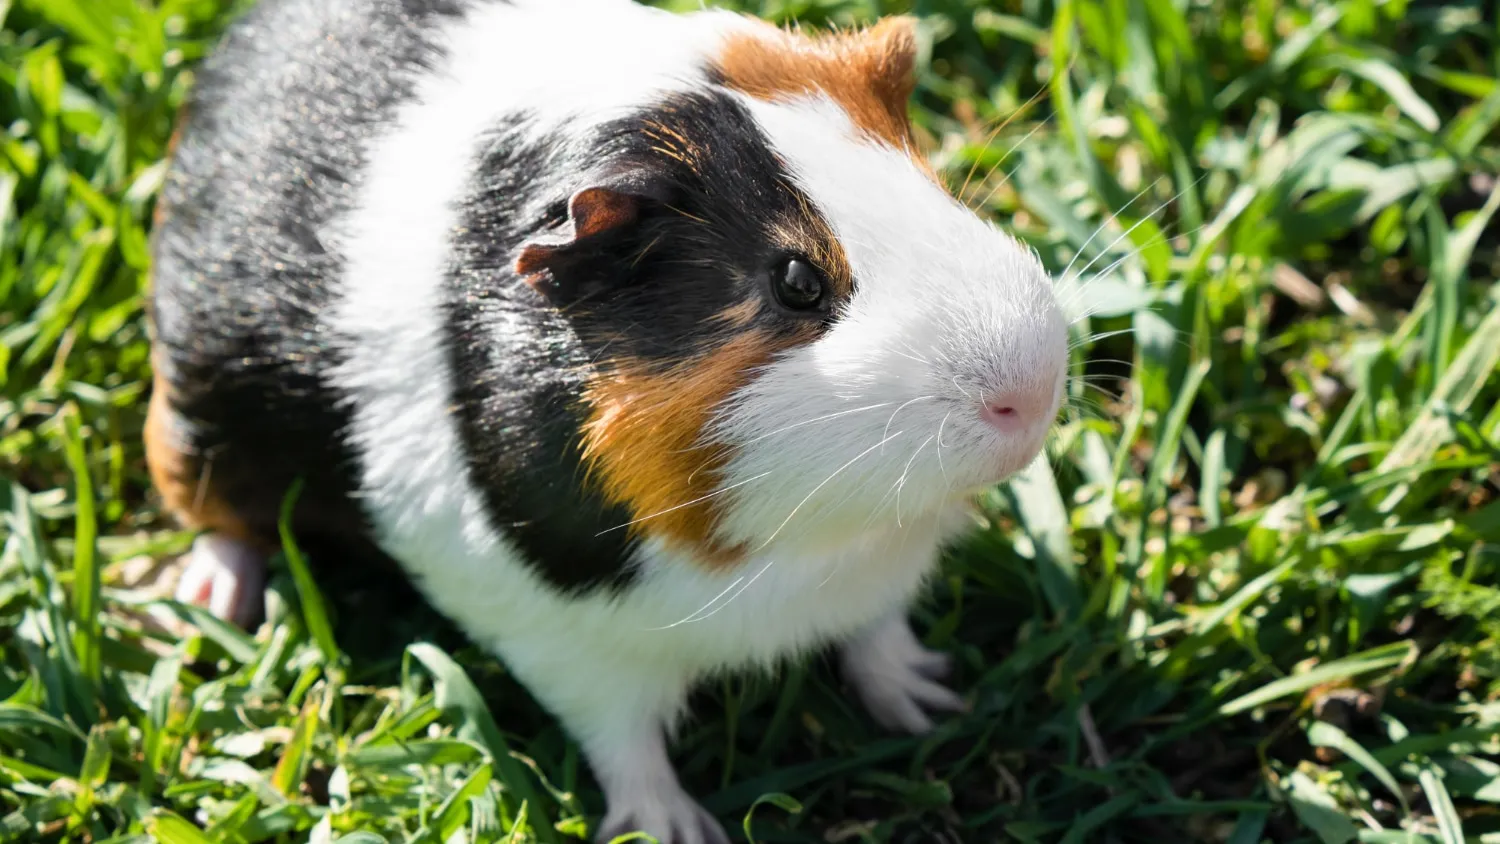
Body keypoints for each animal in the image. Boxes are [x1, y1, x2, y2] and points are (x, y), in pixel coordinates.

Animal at [144, 0, 1070, 841]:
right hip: (197, 434)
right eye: (798, 281)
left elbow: (877, 638)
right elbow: (626, 744)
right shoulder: (566, 641)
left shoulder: (874, 582)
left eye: (935, 189)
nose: (1032, 387)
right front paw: (673, 831)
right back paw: (204, 607)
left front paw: (933, 701)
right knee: (222, 522)